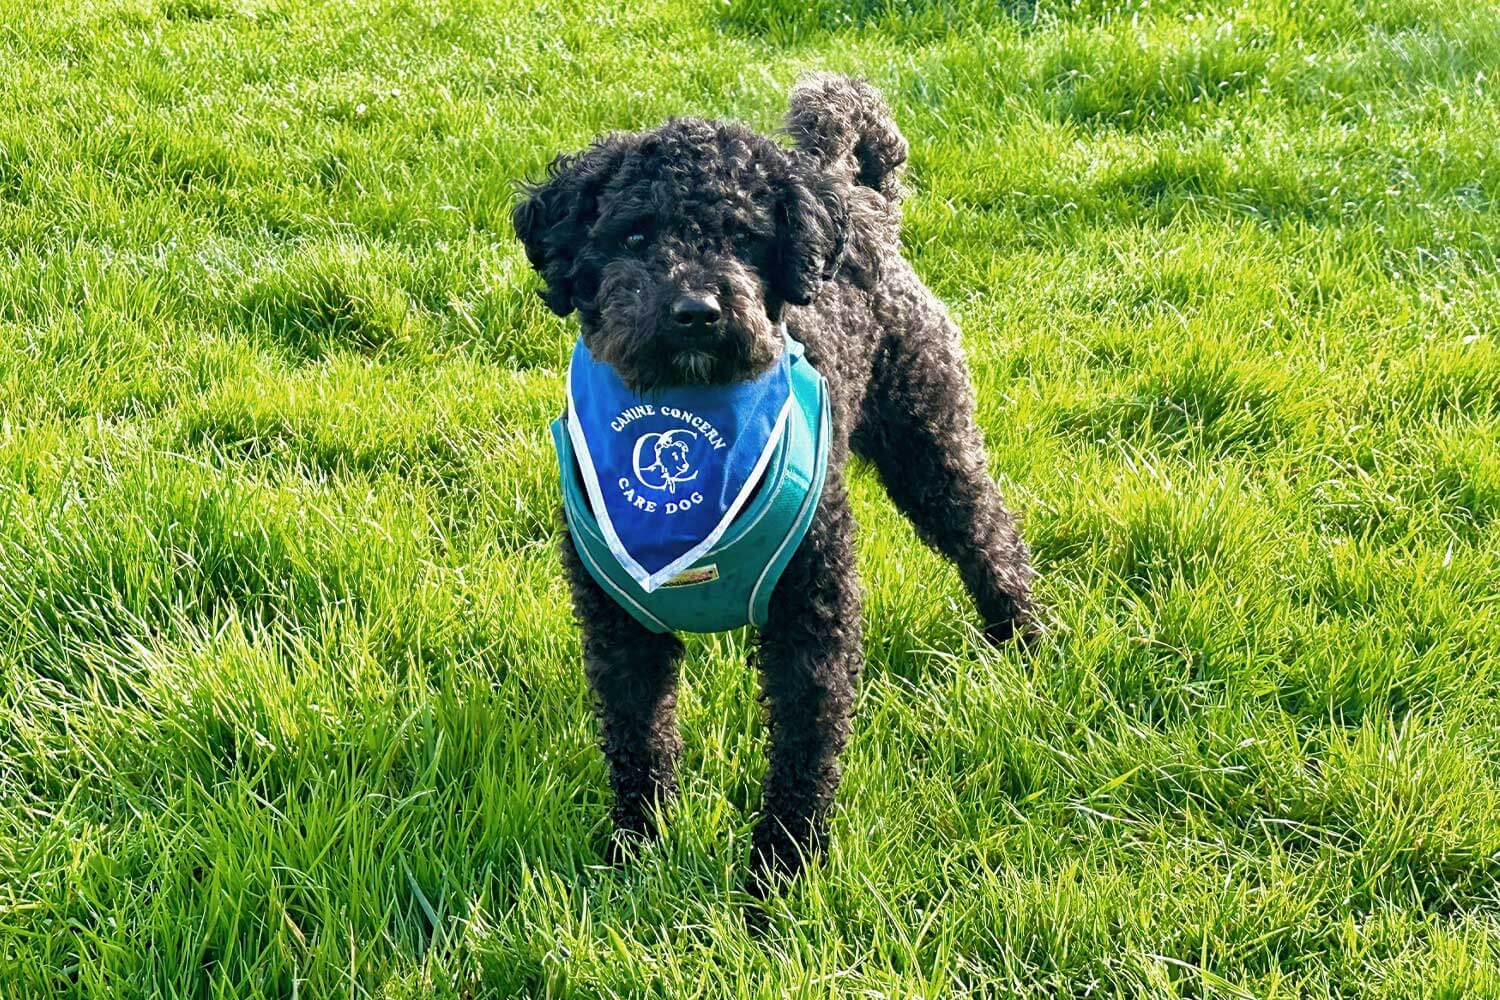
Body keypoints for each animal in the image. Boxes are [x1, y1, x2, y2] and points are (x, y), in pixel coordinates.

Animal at [516, 78, 1032, 893]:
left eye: (743, 237)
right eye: (635, 236)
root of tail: (866, 208)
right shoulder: (619, 622)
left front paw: (781, 872)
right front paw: (638, 850)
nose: (696, 311)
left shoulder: (810, 615)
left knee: (987, 534)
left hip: (927, 439)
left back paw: (1025, 640)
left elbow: (803, 747)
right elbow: (638, 737)